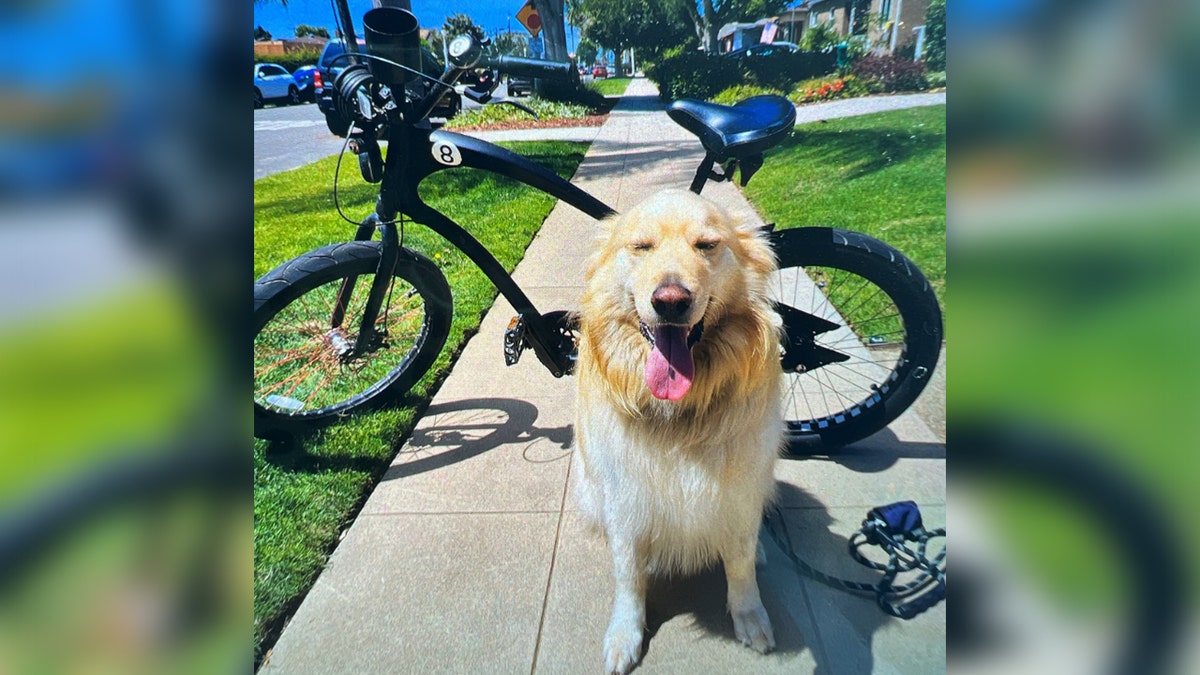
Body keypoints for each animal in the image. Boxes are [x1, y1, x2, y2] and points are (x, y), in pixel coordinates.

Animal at [573, 186, 787, 667]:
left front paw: (750, 615)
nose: (670, 301)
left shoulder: (739, 494)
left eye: (706, 245)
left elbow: (740, 563)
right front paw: (625, 633)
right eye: (641, 246)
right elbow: (628, 575)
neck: (679, 412)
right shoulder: (626, 499)